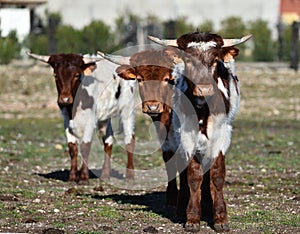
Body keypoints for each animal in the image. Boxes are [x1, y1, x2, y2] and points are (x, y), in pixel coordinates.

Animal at [26, 52, 137, 184]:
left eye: (77, 75)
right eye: (55, 75)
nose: (65, 99)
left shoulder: (90, 121)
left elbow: (85, 146)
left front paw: (84, 177)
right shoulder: (66, 120)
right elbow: (72, 148)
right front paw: (73, 177)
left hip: (127, 109)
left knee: (129, 140)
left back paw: (130, 176)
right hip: (105, 116)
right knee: (108, 140)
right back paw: (105, 175)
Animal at [149, 33, 251, 232]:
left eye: (215, 60)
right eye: (188, 60)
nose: (204, 89)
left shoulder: (221, 135)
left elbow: (217, 175)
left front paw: (220, 218)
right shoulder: (187, 137)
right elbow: (193, 176)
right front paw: (192, 218)